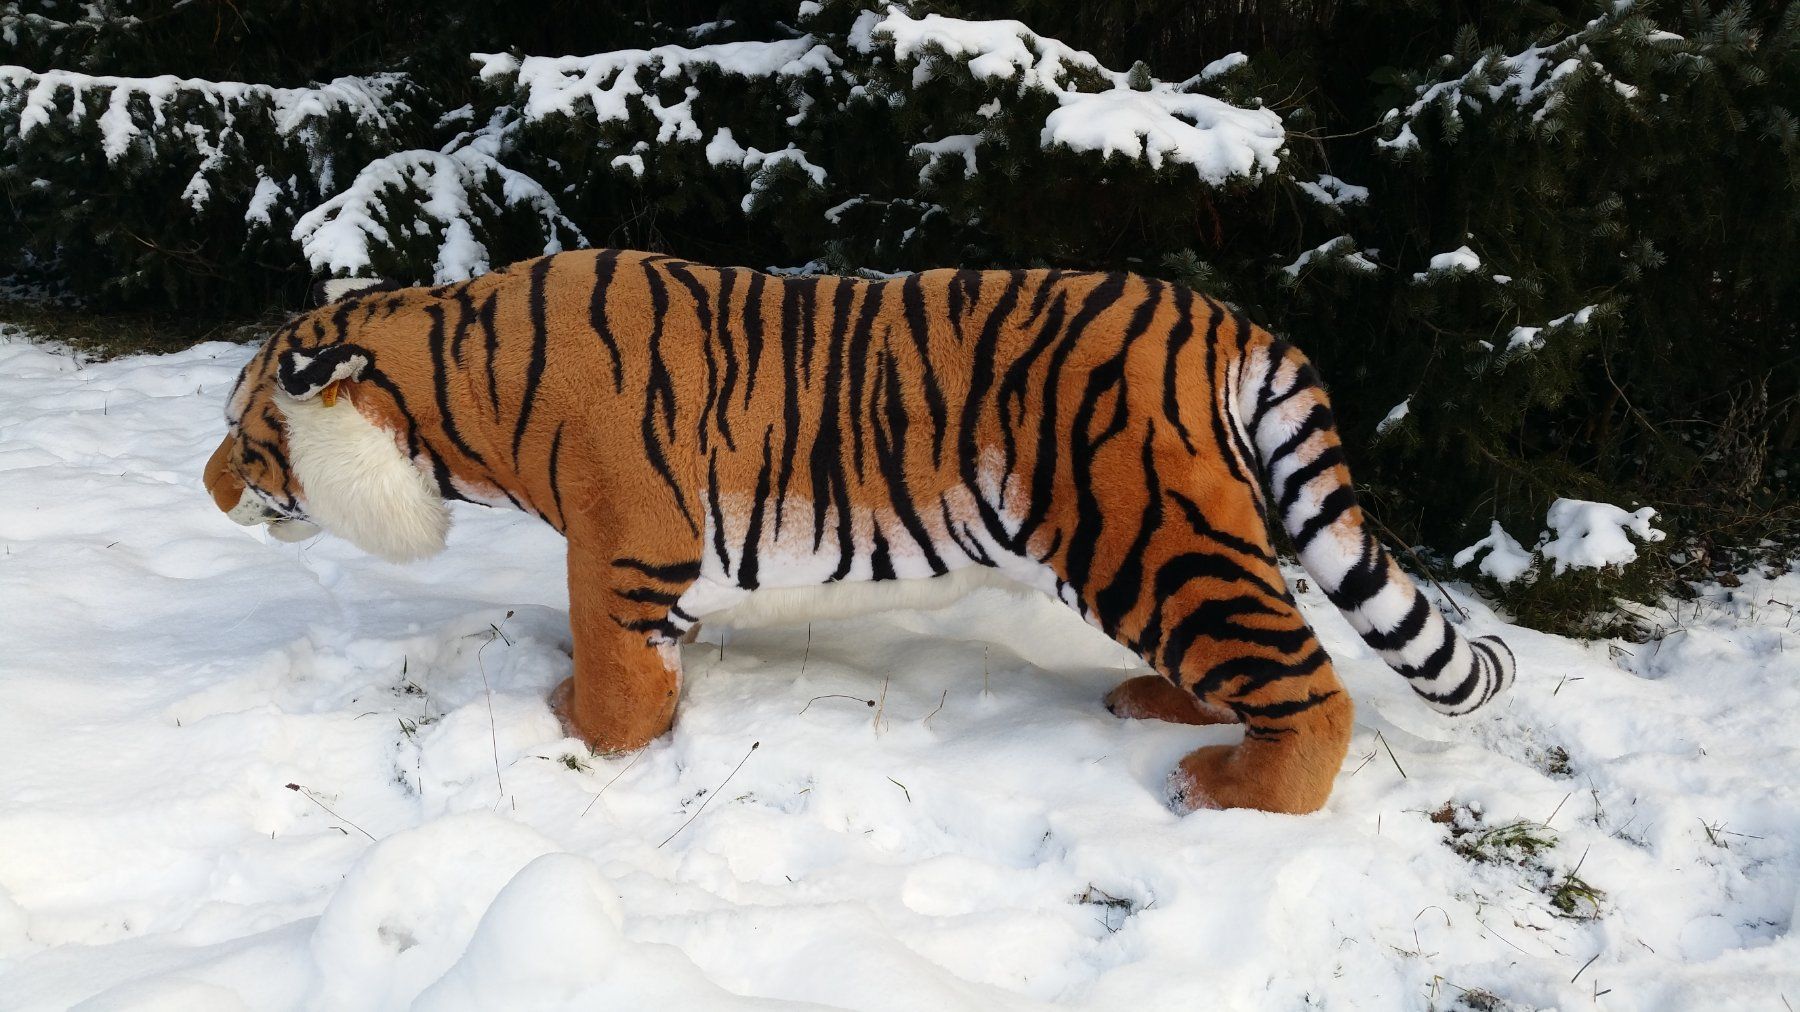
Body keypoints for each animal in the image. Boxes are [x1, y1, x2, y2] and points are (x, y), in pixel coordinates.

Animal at [203, 248, 1513, 815]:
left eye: (245, 433)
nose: (210, 492)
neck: (455, 387)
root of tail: (1231, 319)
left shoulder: (624, 535)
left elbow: (618, 672)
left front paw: (577, 732)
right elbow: (652, 654)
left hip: (1143, 529)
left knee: (1308, 683)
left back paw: (1226, 790)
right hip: (1172, 540)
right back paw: (1163, 709)